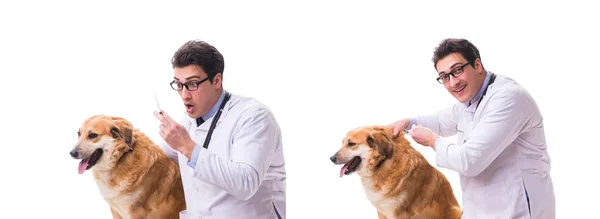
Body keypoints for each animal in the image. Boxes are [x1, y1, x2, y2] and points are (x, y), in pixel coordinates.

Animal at [330, 125, 462, 219]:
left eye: (351, 144)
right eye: (343, 143)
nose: (331, 158)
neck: (381, 164)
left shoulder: (400, 214)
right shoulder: (382, 212)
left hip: (456, 211)